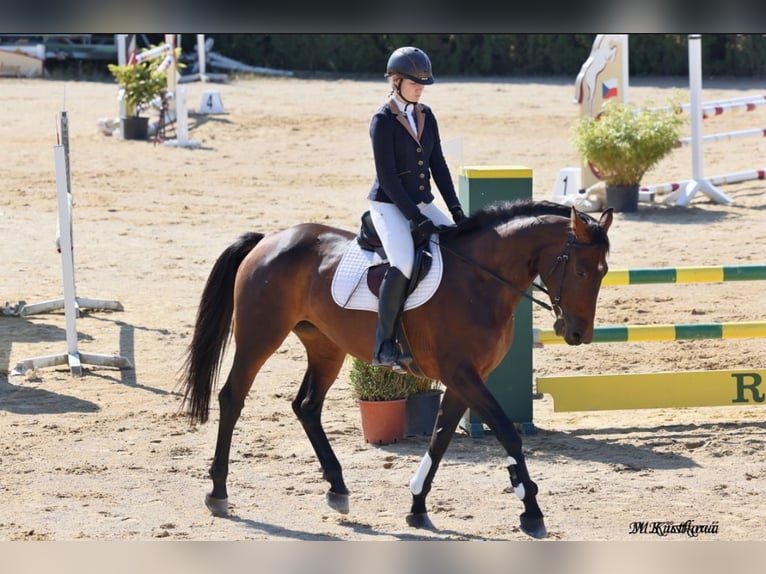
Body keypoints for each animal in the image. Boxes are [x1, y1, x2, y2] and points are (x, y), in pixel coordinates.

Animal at [180, 199, 613, 539]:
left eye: (603, 272)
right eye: (579, 271)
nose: (577, 333)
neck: (480, 280)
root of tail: (270, 238)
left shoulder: (466, 378)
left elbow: (440, 438)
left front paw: (418, 506)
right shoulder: (462, 374)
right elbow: (508, 434)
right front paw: (531, 512)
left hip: (324, 346)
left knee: (306, 406)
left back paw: (338, 489)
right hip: (260, 337)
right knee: (232, 398)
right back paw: (218, 493)